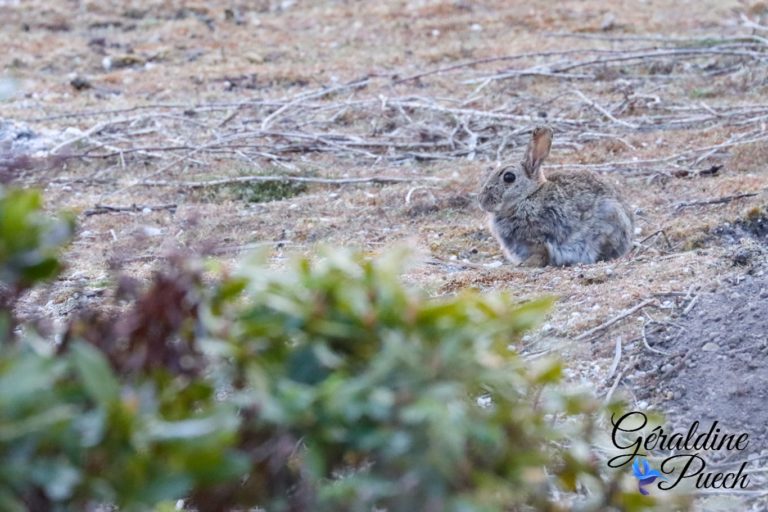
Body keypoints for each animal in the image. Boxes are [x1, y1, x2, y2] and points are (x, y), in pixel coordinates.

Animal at [476, 125, 632, 266]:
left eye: (509, 177)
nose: (481, 201)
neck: (528, 196)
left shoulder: (538, 239)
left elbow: (541, 254)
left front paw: (526, 264)